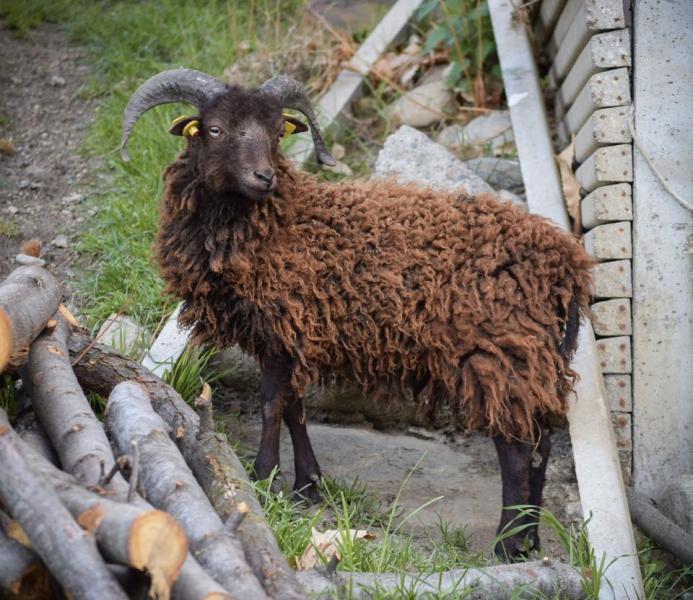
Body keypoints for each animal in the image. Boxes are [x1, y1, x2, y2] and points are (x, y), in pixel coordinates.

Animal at [120, 68, 596, 560]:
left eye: (276, 133)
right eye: (214, 129)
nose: (263, 176)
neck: (280, 223)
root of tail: (566, 264)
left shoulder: (279, 330)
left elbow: (272, 405)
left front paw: (263, 477)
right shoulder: (293, 335)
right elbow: (294, 408)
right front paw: (307, 484)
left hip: (498, 354)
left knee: (517, 450)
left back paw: (507, 543)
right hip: (532, 357)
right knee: (540, 444)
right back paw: (530, 538)